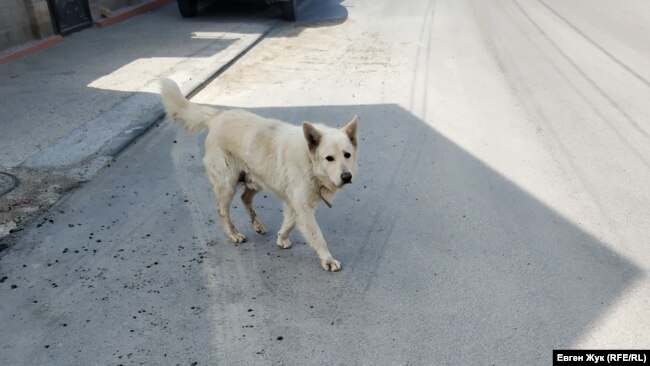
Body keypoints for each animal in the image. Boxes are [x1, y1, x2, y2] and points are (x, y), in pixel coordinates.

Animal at [159, 78, 356, 270]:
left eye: (347, 155)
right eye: (329, 158)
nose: (347, 177)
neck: (309, 161)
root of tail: (218, 116)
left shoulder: (295, 204)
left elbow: (289, 223)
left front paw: (281, 238)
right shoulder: (303, 207)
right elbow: (318, 236)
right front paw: (328, 260)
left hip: (257, 178)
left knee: (245, 198)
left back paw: (257, 224)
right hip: (227, 184)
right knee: (222, 210)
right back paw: (233, 234)